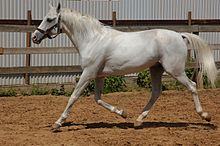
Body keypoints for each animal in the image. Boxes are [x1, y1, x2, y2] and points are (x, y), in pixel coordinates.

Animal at [31, 3, 217, 130]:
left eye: (49, 19)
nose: (34, 37)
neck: (93, 39)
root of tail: (180, 35)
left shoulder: (88, 73)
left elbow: (74, 97)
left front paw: (58, 123)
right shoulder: (99, 75)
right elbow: (98, 99)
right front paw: (123, 113)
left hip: (175, 70)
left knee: (192, 86)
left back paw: (205, 116)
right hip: (156, 69)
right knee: (156, 92)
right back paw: (138, 120)